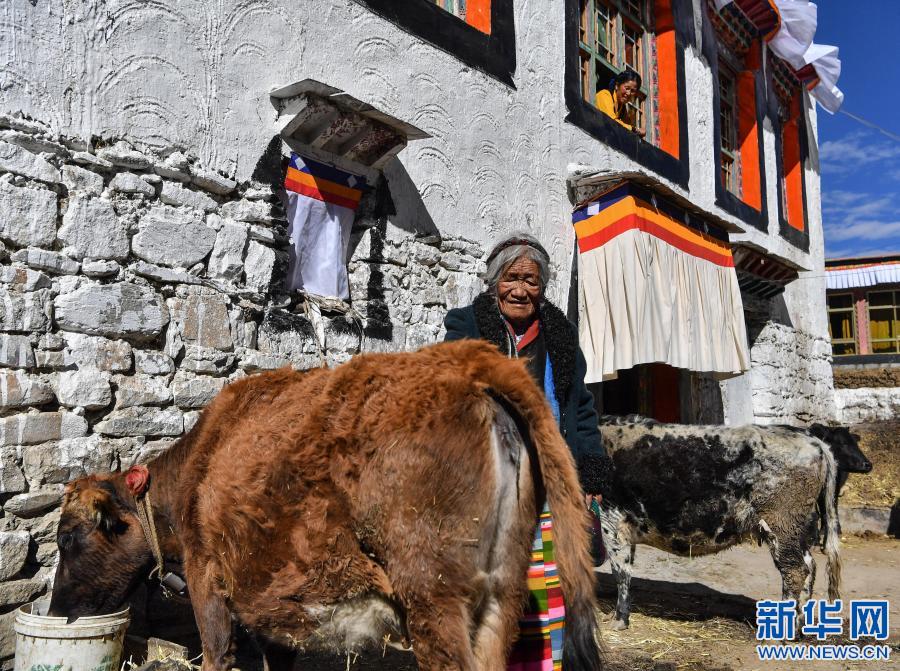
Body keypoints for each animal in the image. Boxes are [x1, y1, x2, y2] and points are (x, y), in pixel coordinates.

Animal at [47, 341, 602, 671]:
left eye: (68, 538)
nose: (56, 612)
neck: (197, 467)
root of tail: (470, 363)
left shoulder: (210, 579)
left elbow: (217, 651)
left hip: (432, 593)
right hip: (501, 594)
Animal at [596, 415, 842, 630]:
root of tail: (812, 440)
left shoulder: (612, 520)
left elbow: (621, 573)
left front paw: (619, 620)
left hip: (781, 525)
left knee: (795, 570)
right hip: (798, 530)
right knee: (809, 566)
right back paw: (798, 626)